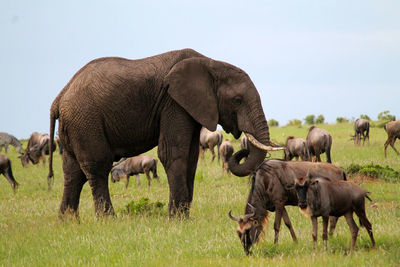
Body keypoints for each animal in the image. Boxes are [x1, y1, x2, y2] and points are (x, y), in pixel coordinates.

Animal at [47, 48, 284, 220]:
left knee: (73, 172)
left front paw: (184, 217)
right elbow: (172, 153)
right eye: (237, 100)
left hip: (75, 125)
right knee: (97, 166)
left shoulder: (188, 107)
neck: (211, 63)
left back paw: (68, 222)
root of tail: (59, 98)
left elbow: (191, 157)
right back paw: (108, 220)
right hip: (85, 120)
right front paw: (177, 219)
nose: (242, 148)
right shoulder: (173, 103)